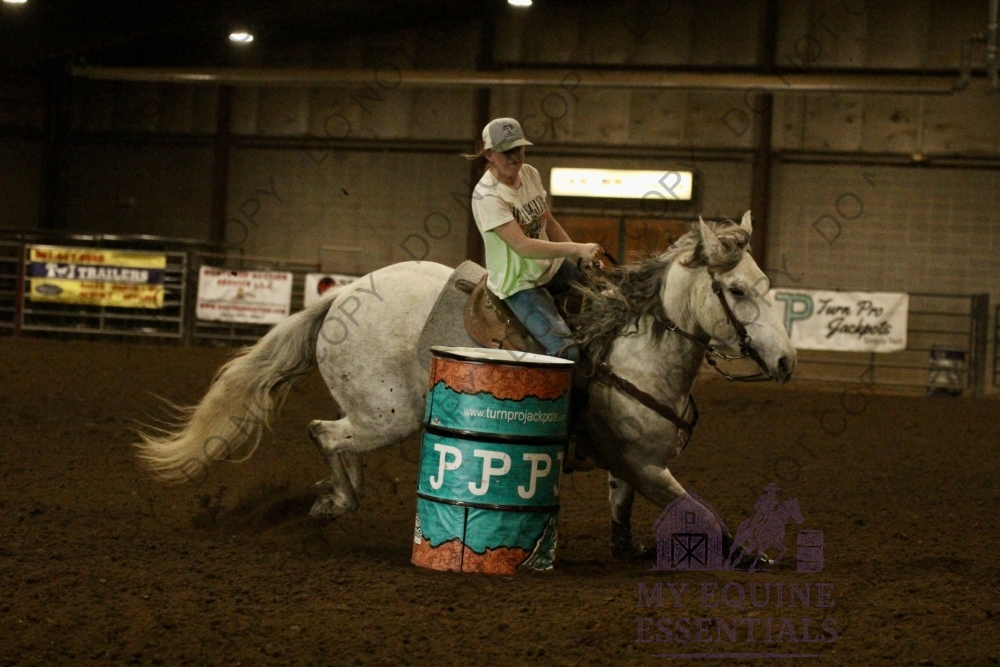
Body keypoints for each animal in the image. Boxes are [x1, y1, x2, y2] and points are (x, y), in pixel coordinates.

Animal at [136, 211, 797, 559]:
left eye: (767, 285)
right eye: (736, 290)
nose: (788, 362)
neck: (634, 352)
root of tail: (340, 297)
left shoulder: (631, 466)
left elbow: (622, 512)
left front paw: (627, 550)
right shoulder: (647, 465)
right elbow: (702, 512)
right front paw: (755, 556)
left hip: (376, 415)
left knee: (337, 441)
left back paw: (332, 495)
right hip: (389, 415)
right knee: (324, 431)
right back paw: (335, 500)